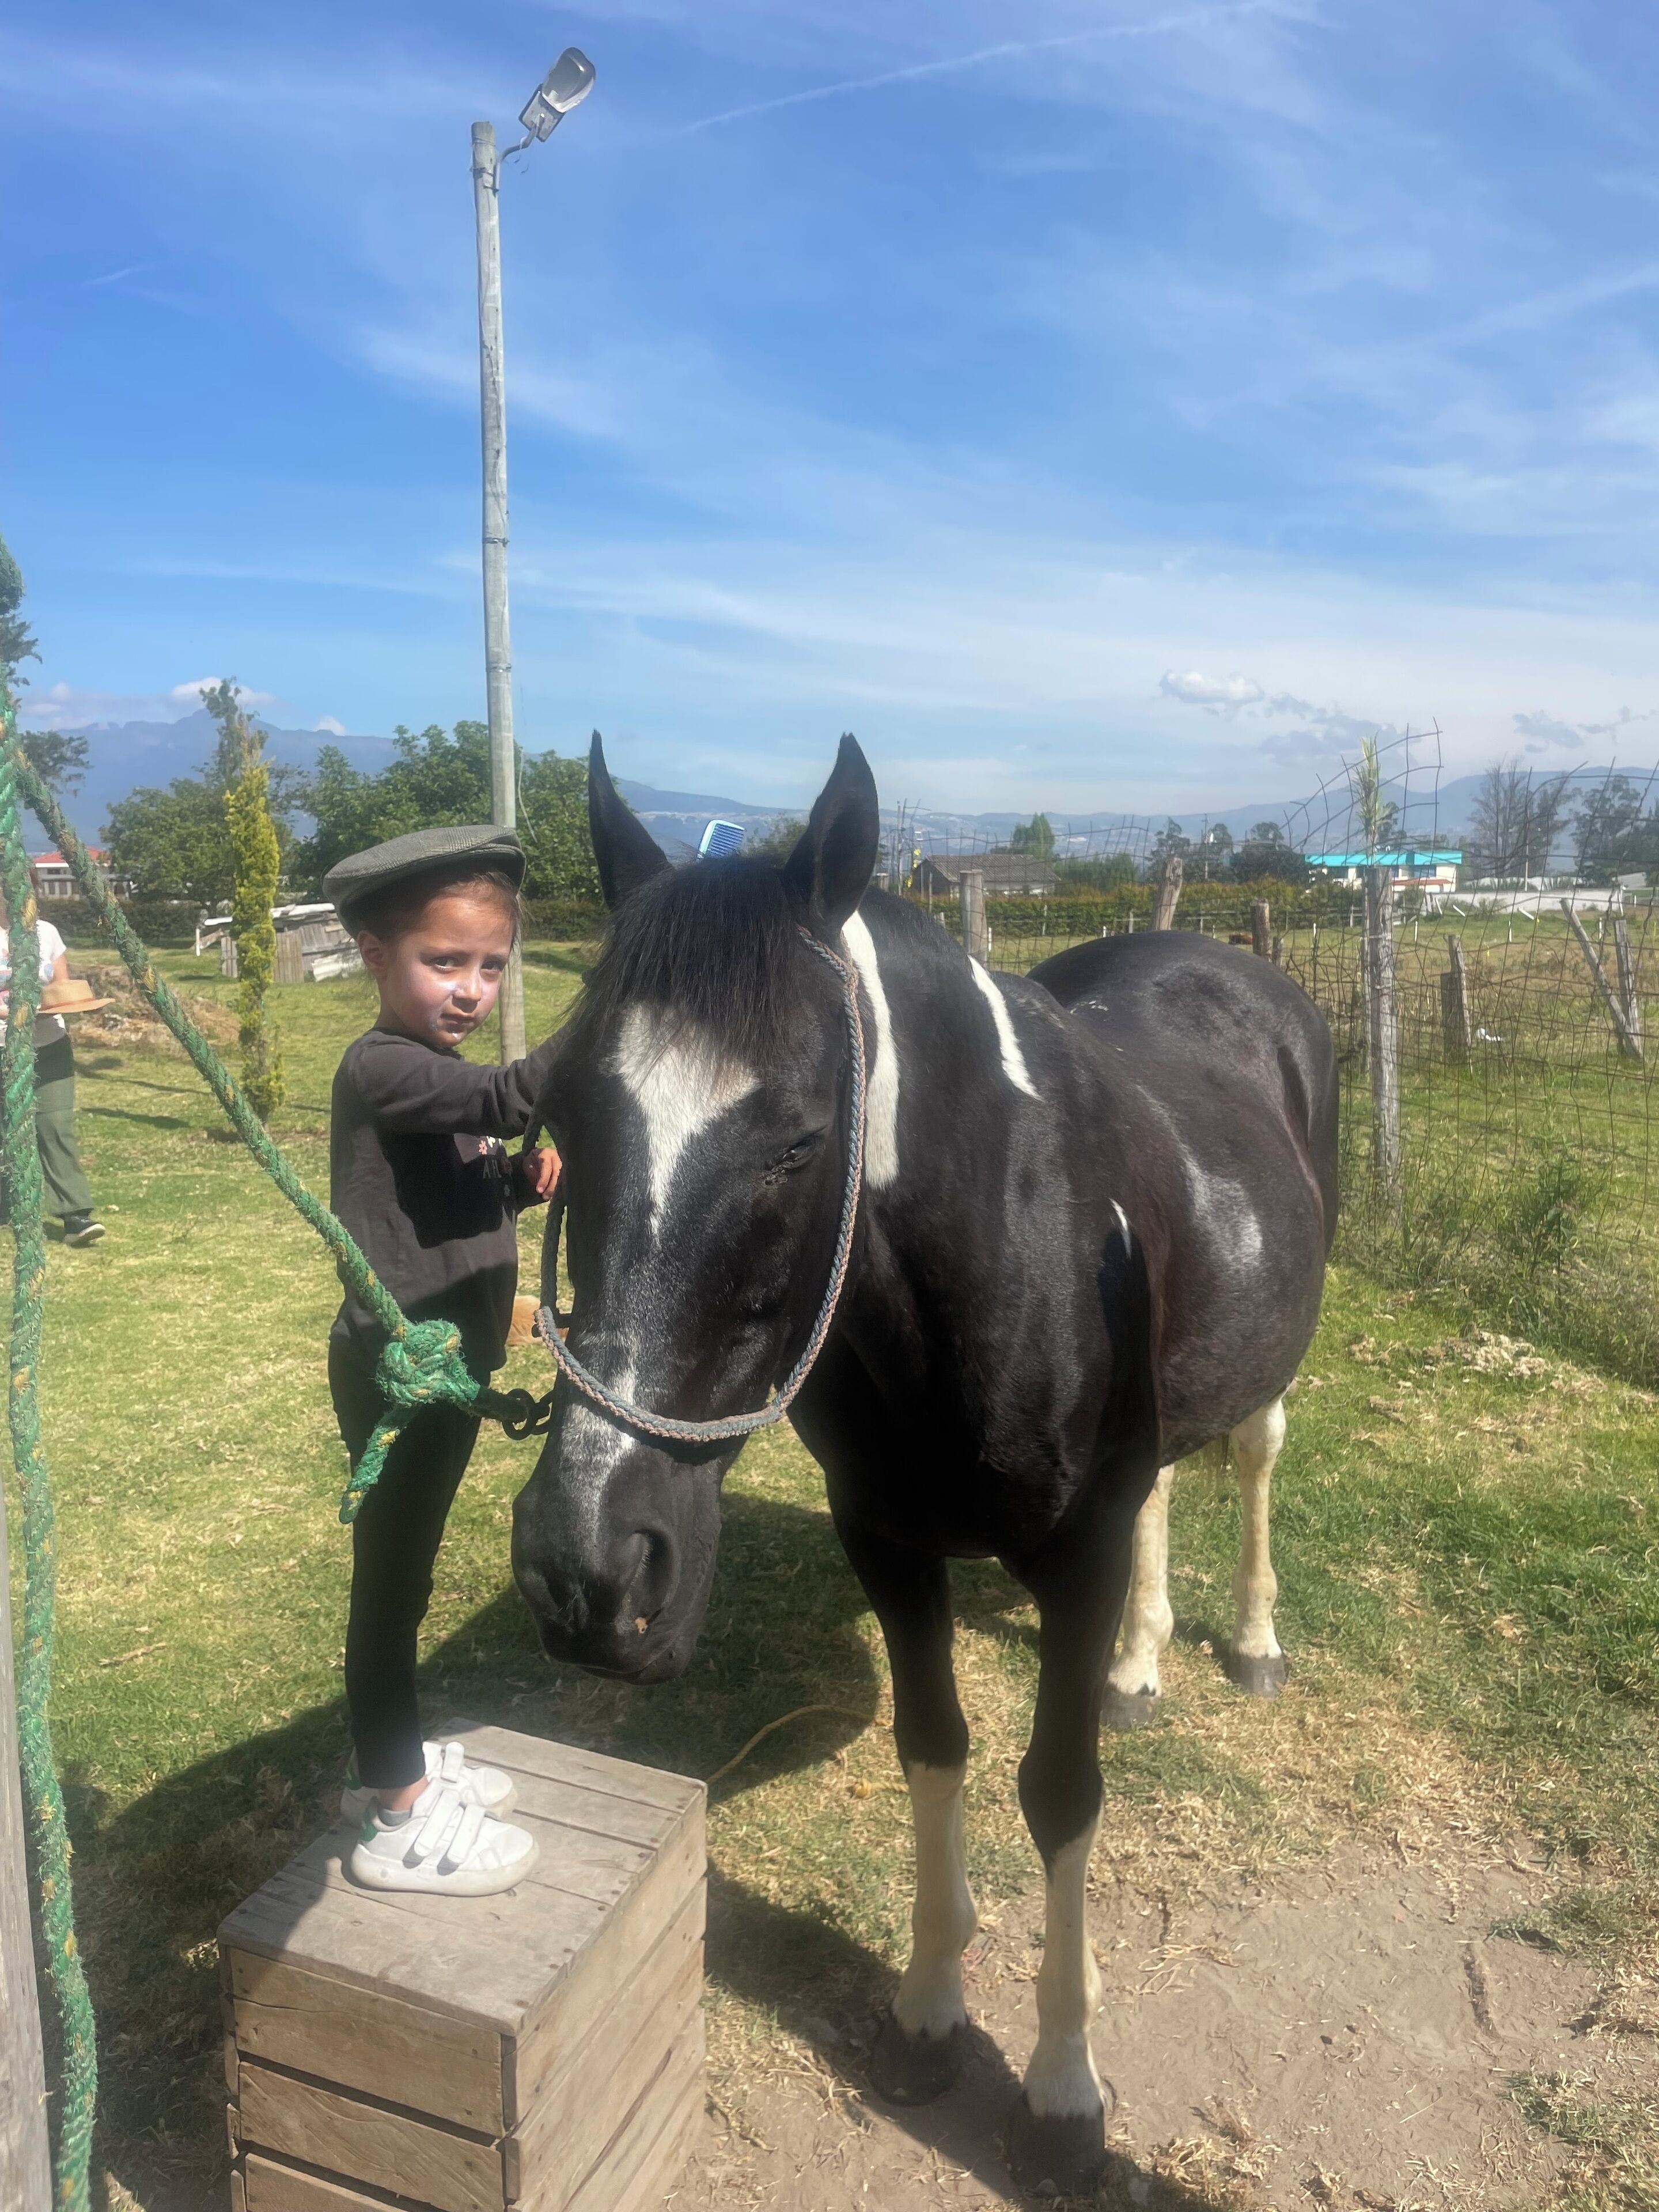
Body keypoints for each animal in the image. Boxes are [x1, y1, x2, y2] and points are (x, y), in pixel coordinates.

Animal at [511, 734, 1338, 2192]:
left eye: (796, 1136)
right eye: (558, 1106)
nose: (588, 1568)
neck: (1005, 1243)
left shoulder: (1072, 1551)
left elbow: (1058, 1795)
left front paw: (1062, 2093)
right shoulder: (886, 1542)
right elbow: (934, 1748)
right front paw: (927, 2012)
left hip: (1270, 1370)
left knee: (1247, 1459)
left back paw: (1247, 1642)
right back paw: (1139, 1664)